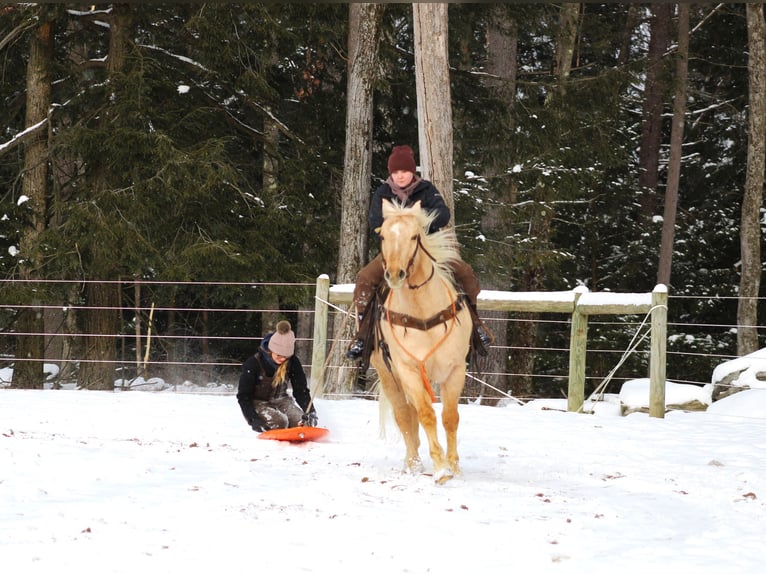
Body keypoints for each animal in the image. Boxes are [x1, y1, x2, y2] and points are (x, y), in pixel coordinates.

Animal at [368, 200, 472, 484]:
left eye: (415, 236)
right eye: (382, 236)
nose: (395, 274)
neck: (423, 312)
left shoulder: (455, 370)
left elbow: (450, 417)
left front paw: (454, 466)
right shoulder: (408, 370)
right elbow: (425, 414)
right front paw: (440, 469)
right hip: (388, 375)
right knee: (405, 416)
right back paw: (413, 463)